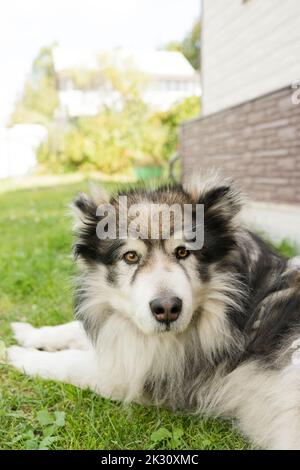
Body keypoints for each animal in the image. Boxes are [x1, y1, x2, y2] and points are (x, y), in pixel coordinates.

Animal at [6, 175, 300, 448]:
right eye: (131, 256)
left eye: (183, 252)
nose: (167, 308)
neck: (233, 304)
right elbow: (73, 329)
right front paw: (29, 333)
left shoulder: (133, 376)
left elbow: (70, 363)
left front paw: (19, 355)